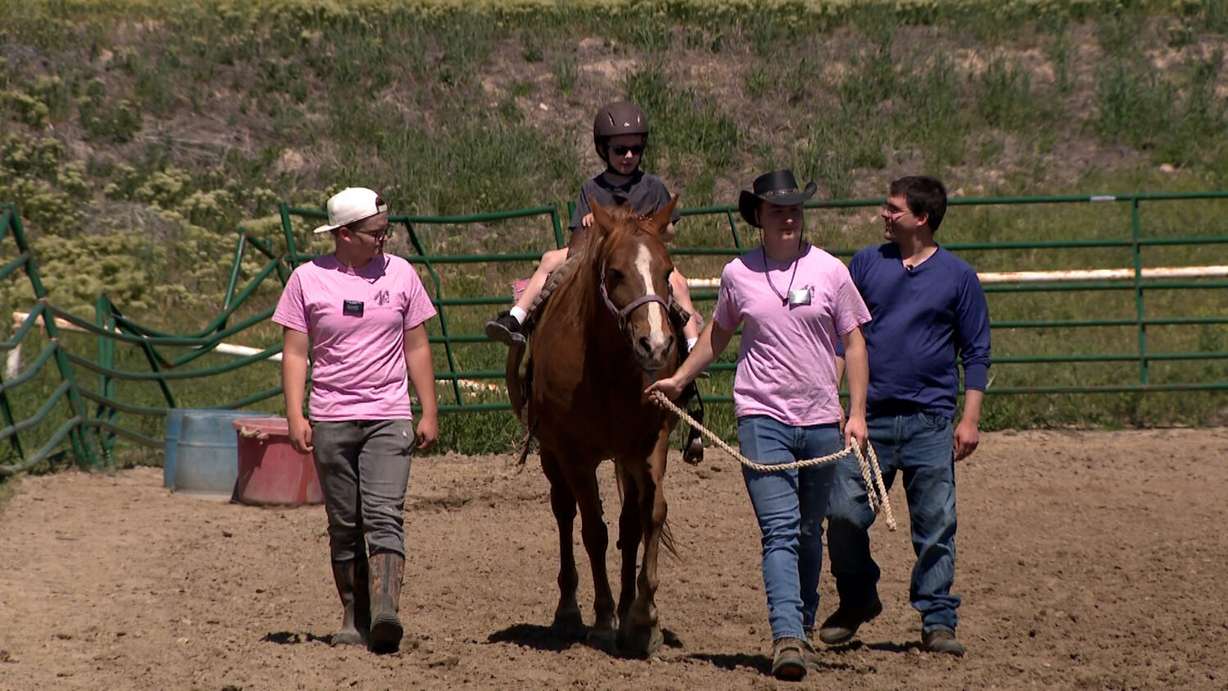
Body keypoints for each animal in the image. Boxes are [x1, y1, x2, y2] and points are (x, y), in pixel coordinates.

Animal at [505, 196, 684, 657]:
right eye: (616, 272)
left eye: (668, 271)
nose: (656, 346)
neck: (607, 368)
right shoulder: (575, 454)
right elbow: (594, 531)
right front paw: (604, 620)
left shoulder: (648, 443)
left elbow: (650, 516)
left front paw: (642, 619)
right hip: (552, 456)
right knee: (565, 513)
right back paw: (569, 612)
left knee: (629, 524)